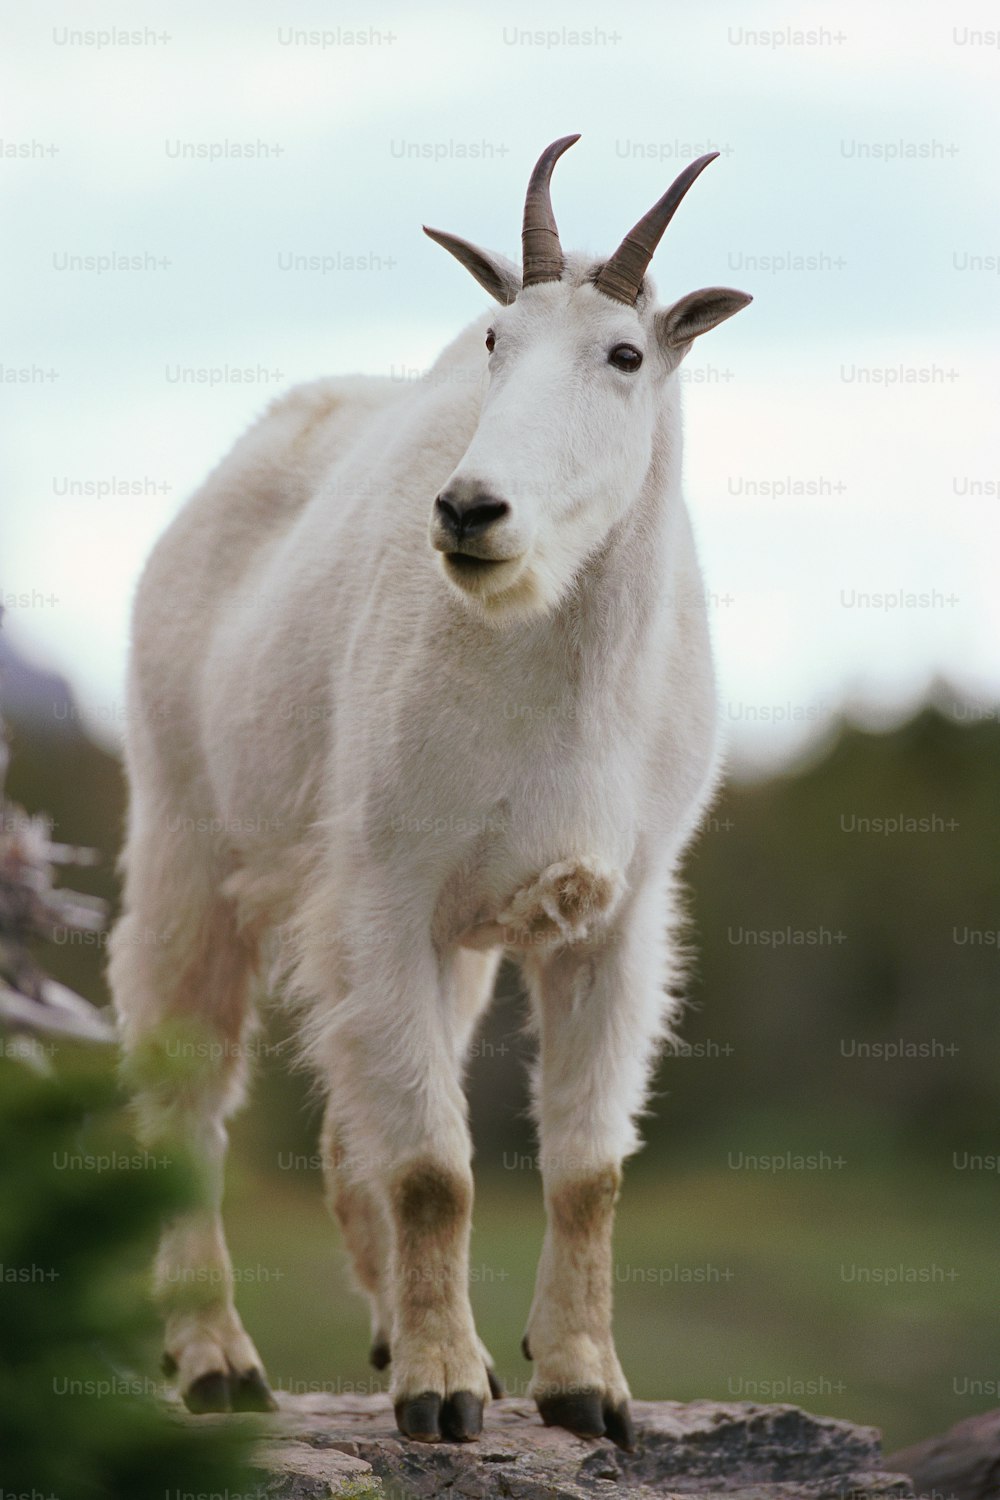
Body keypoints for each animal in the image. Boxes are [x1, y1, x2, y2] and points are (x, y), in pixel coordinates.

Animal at [107, 135, 749, 1446]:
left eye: (624, 354)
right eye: (495, 340)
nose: (467, 510)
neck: (556, 667)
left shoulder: (615, 917)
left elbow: (586, 1170)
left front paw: (581, 1388)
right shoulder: (381, 887)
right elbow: (435, 1171)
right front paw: (442, 1395)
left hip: (449, 949)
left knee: (350, 1124)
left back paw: (394, 1338)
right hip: (190, 847)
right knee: (190, 1095)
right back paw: (217, 1363)